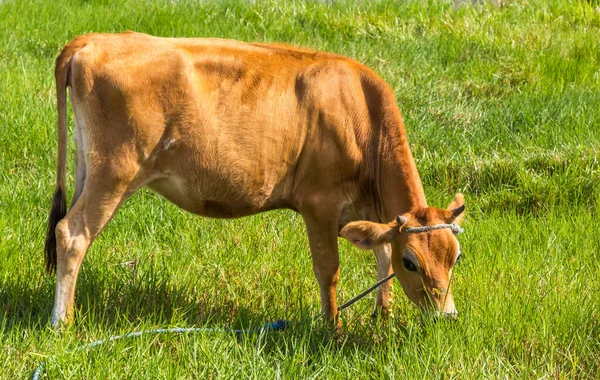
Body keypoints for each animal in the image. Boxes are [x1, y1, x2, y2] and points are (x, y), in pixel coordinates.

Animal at [45, 32, 464, 328]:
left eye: (456, 257)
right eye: (411, 262)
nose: (447, 316)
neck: (361, 114)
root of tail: (93, 40)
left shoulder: (368, 212)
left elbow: (380, 257)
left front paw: (383, 317)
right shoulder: (320, 204)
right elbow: (329, 270)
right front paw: (334, 331)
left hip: (88, 166)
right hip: (116, 170)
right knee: (73, 233)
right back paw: (61, 323)